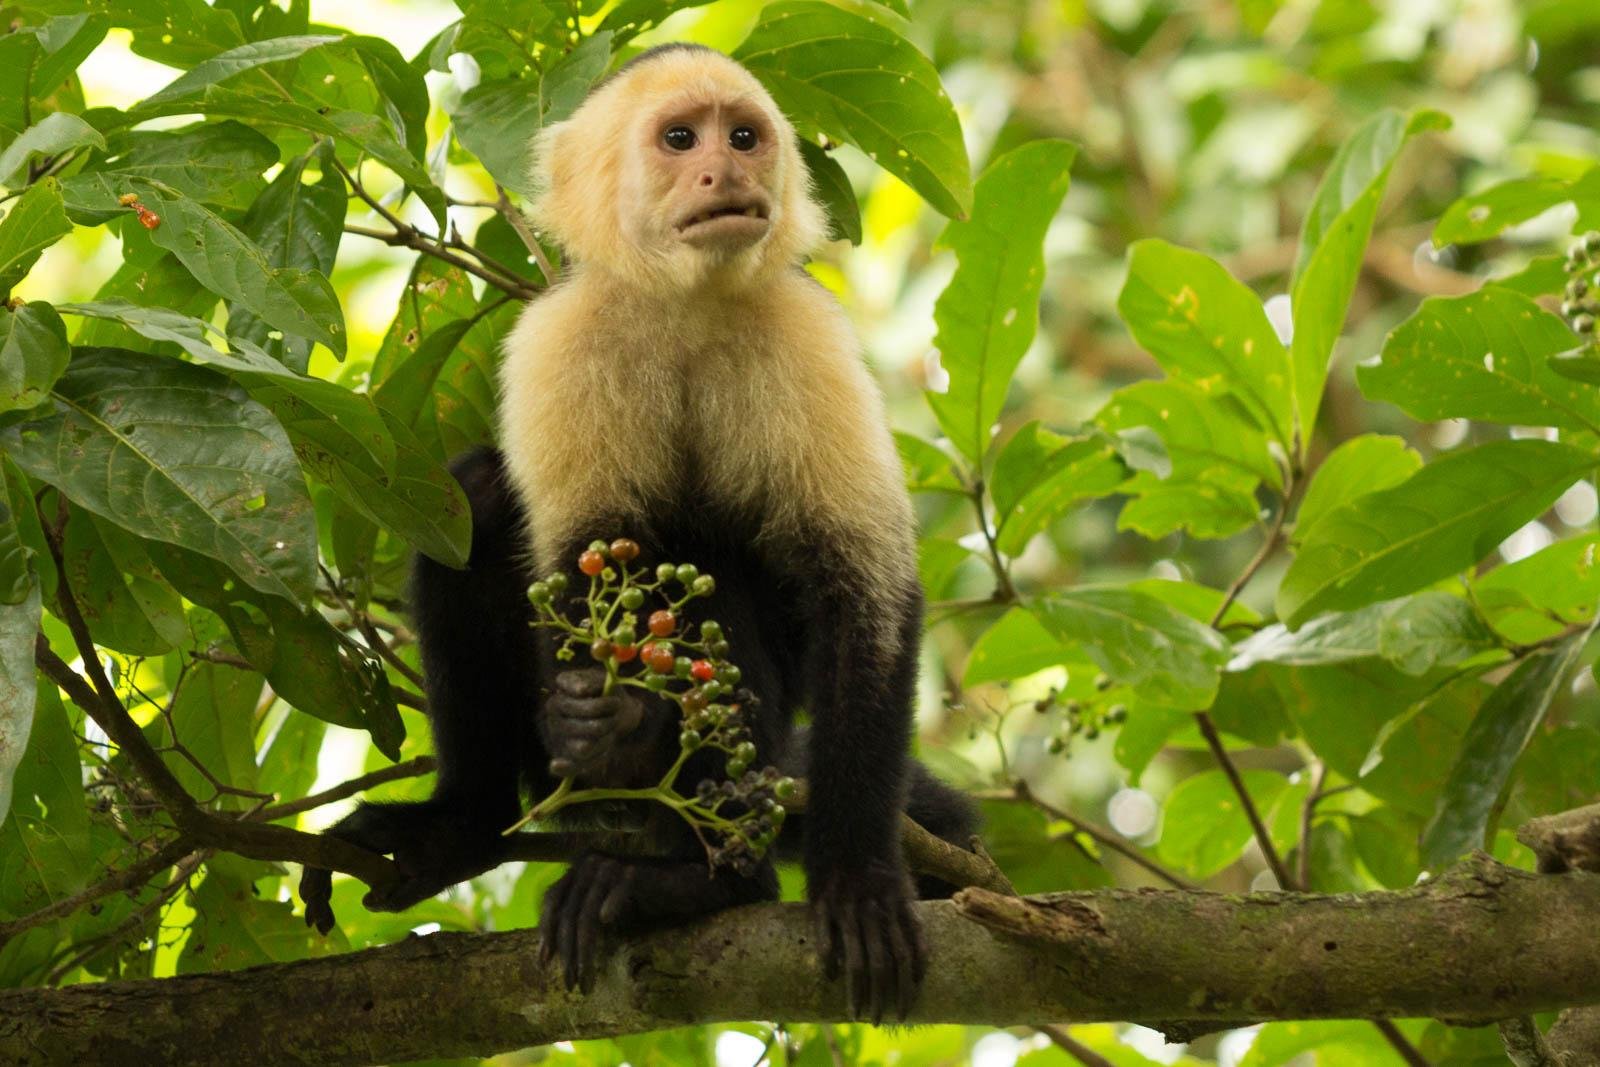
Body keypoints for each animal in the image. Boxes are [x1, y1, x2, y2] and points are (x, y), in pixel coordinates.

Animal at [298, 42, 978, 1023]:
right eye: (680, 139)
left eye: (744, 137)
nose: (726, 172)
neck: (685, 304)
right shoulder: (563, 338)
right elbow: (581, 562)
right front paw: (607, 723)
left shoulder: (806, 332)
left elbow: (863, 592)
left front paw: (855, 878)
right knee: (479, 501)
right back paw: (470, 822)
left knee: (718, 578)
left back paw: (704, 878)